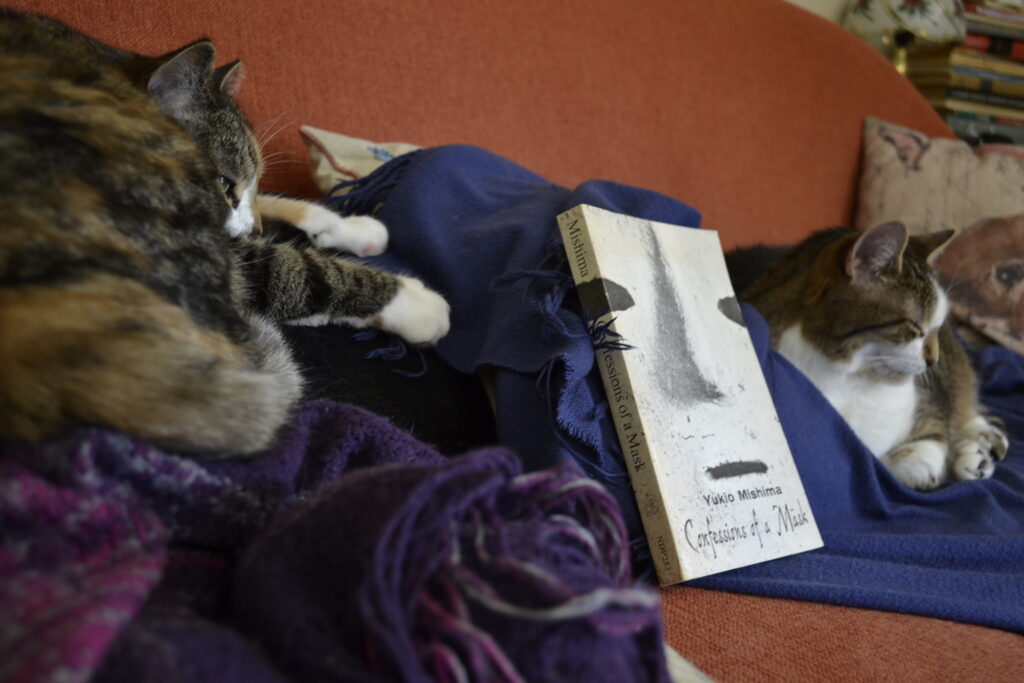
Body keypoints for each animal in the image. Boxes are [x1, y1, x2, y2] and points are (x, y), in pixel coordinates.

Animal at [1, 10, 448, 456]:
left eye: (250, 180)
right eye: (222, 182)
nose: (255, 230)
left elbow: (278, 202)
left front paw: (351, 226)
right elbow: (297, 271)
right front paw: (419, 305)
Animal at [737, 223, 1007, 491]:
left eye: (937, 328)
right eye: (916, 327)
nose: (934, 361)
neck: (851, 380)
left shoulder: (933, 395)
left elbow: (923, 448)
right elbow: (881, 467)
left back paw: (982, 443)